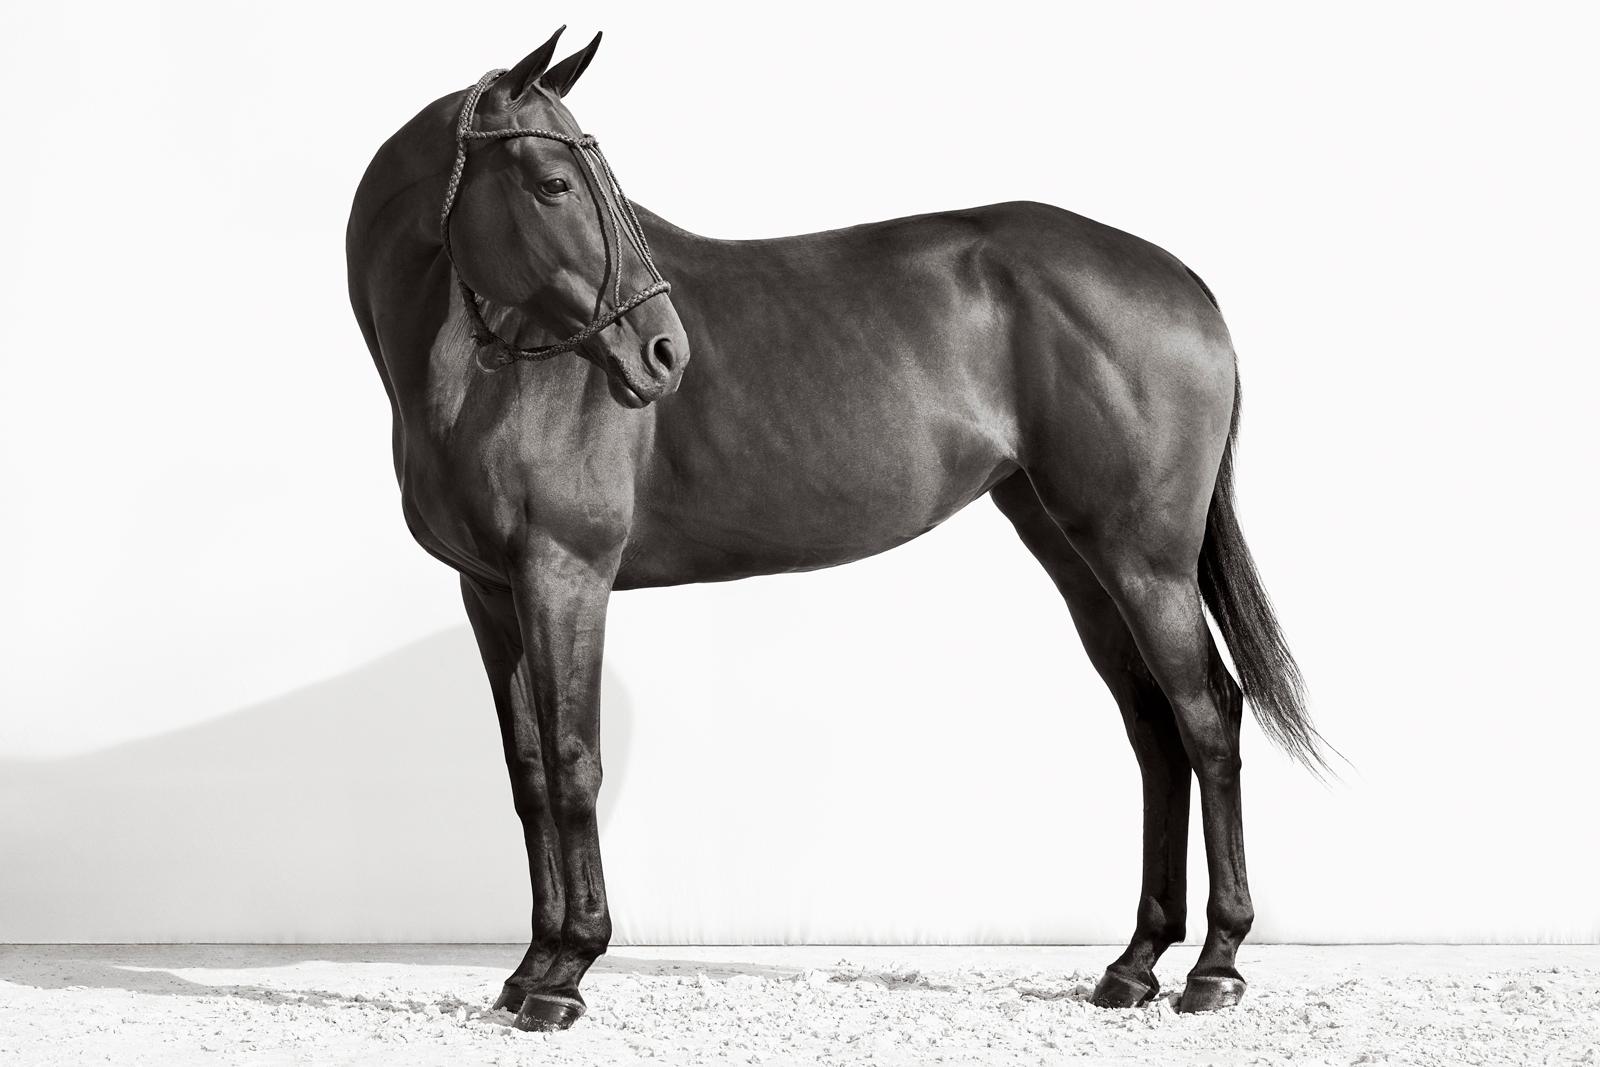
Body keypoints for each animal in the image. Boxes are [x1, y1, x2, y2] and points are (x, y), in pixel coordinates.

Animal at [347, 27, 1324, 1036]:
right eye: (552, 183)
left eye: (588, 180)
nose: (665, 352)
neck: (486, 373)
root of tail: (1180, 279)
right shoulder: (492, 591)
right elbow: (531, 773)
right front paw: (528, 967)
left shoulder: (563, 574)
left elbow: (577, 764)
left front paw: (567, 971)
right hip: (1077, 553)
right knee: (1153, 728)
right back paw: (1134, 963)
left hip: (1145, 558)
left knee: (1208, 716)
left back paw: (1215, 964)